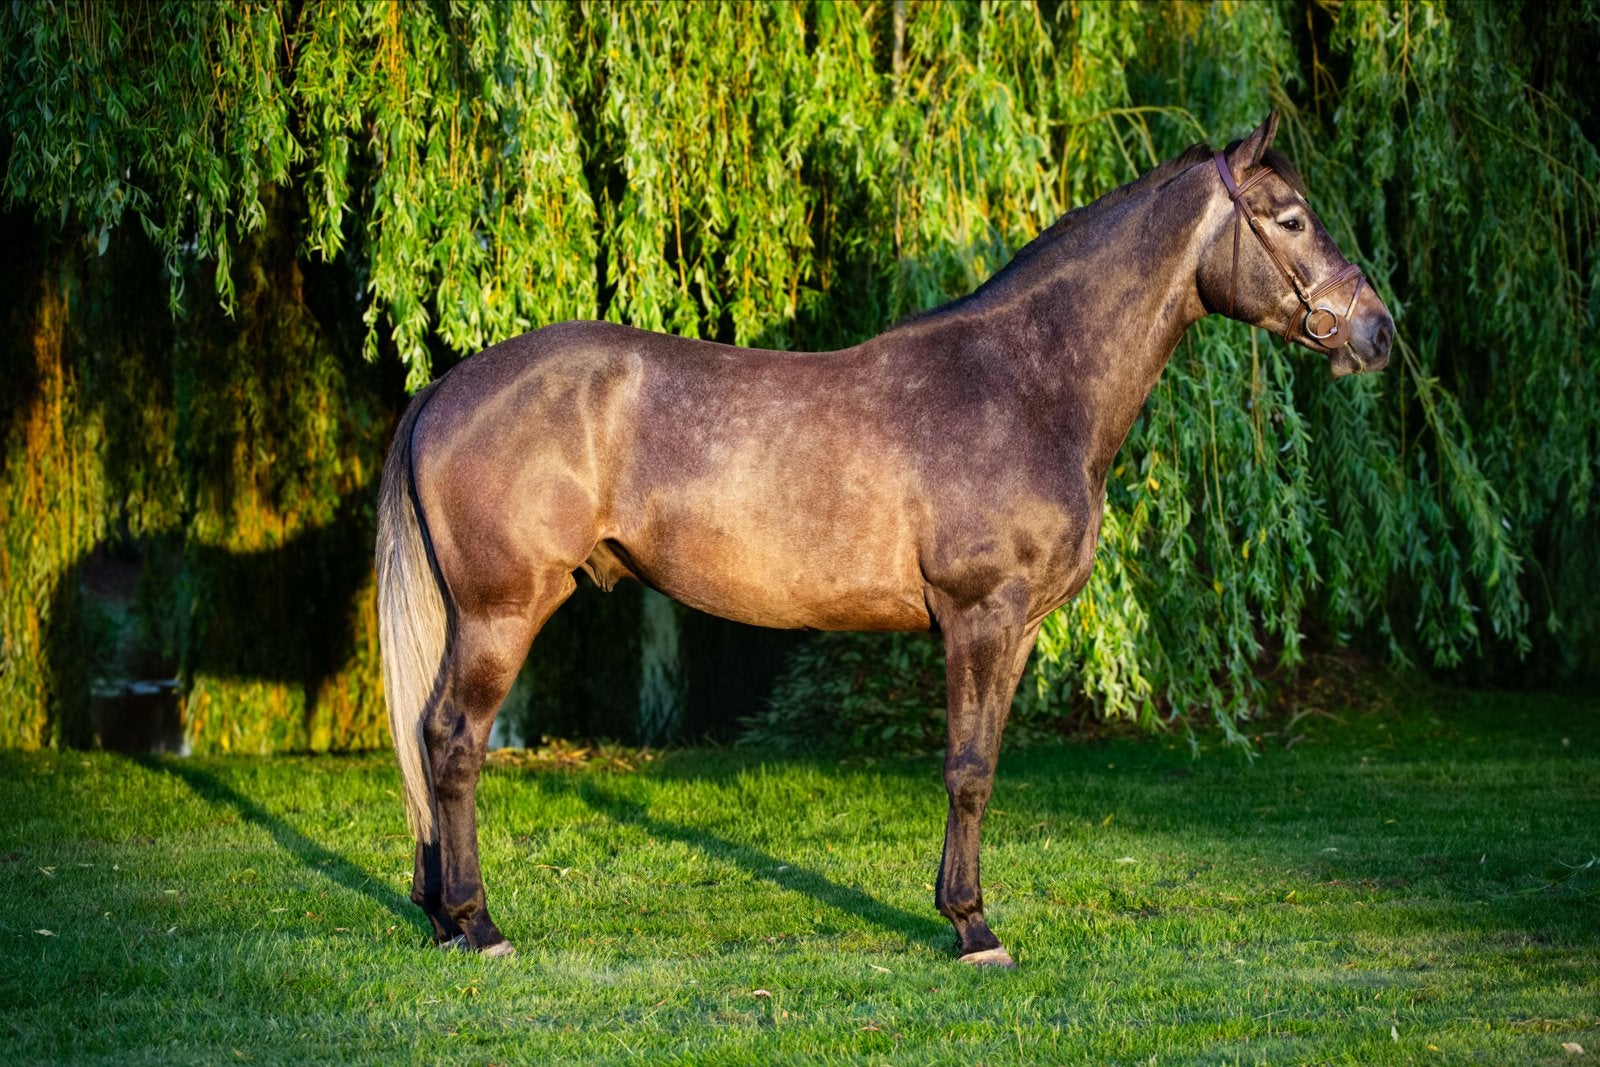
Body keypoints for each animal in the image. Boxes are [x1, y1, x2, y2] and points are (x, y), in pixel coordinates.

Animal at [375, 112, 1393, 967]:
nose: (1378, 332)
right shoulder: (981, 618)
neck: (1024, 382)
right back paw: (477, 922)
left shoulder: (1017, 629)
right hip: (503, 613)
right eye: (1292, 219)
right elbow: (968, 770)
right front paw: (974, 928)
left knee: (425, 737)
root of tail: (446, 387)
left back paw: (438, 917)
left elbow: (982, 763)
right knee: (453, 741)